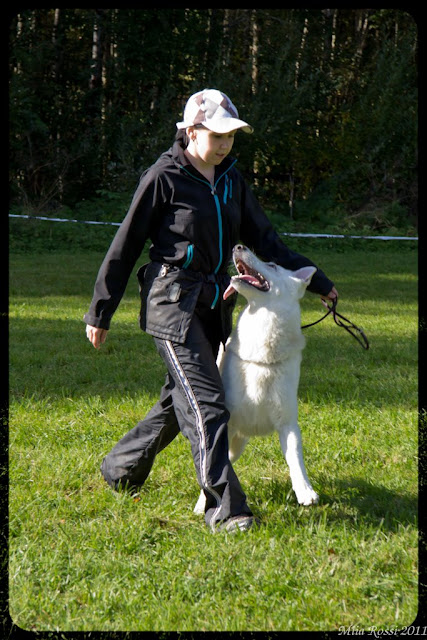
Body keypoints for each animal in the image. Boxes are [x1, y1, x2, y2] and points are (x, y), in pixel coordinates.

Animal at [194, 244, 319, 514]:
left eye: (272, 265)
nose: (238, 246)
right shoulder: (226, 424)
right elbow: (214, 466)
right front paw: (207, 502)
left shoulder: (288, 424)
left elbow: (296, 460)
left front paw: (305, 491)